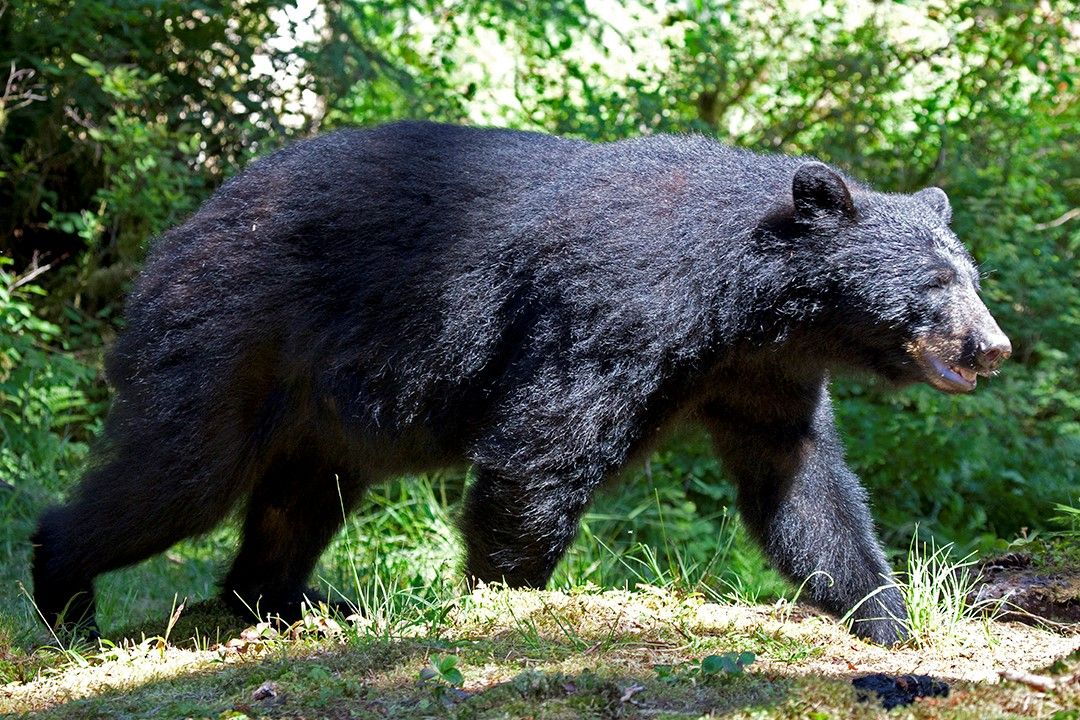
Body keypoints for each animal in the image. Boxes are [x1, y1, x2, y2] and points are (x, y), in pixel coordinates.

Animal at [31, 120, 1011, 645]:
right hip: (234, 344)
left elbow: (802, 487)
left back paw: (283, 601)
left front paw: (888, 615)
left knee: (298, 501)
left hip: (319, 410)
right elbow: (543, 448)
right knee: (174, 479)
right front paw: (506, 602)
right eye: (937, 284)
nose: (992, 347)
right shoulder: (616, 307)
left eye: (970, 275)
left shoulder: (762, 375)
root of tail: (181, 232)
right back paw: (63, 593)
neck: (743, 301)